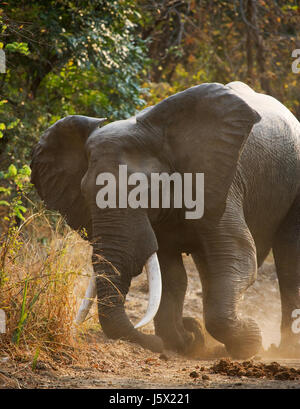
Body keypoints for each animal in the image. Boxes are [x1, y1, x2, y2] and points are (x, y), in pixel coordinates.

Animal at [31, 82, 300, 356]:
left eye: (144, 191)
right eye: (84, 194)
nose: (153, 343)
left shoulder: (222, 184)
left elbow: (237, 258)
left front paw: (250, 341)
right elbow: (170, 272)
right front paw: (186, 341)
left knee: (288, 258)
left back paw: (285, 348)